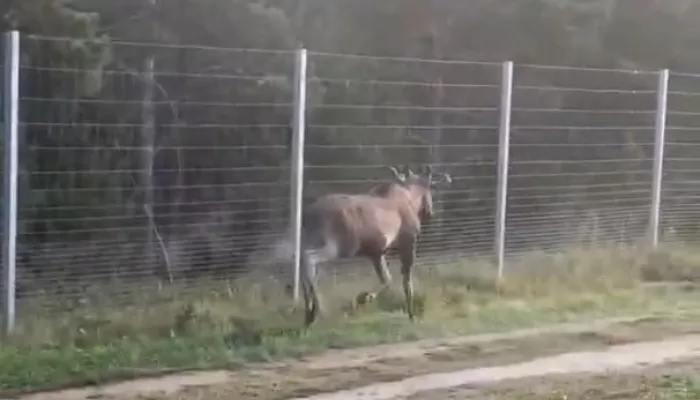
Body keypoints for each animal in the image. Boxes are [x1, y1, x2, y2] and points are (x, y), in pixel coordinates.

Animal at [294, 164, 451, 327]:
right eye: (429, 191)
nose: (430, 211)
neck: (412, 200)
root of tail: (308, 214)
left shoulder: (377, 252)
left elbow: (387, 279)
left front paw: (365, 297)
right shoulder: (408, 241)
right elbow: (407, 282)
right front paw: (411, 315)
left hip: (313, 241)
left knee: (301, 259)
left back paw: (309, 310)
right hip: (339, 246)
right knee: (308, 258)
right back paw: (316, 308)